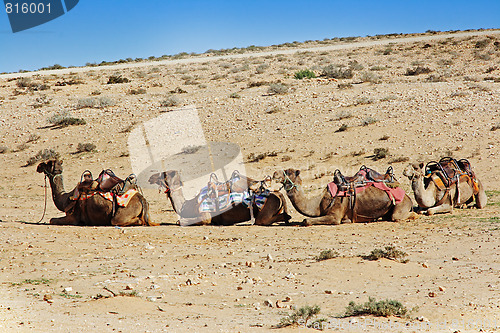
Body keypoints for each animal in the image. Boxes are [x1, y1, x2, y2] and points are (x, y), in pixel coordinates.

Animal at [147, 169, 290, 226]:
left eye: (164, 174)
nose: (151, 177)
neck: (187, 206)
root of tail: (279, 194)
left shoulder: (205, 216)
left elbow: (180, 221)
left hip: (264, 213)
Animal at [272, 167, 416, 224]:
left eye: (288, 172)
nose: (274, 173)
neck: (318, 203)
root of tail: (407, 196)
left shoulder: (335, 215)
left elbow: (306, 221)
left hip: (400, 204)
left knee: (399, 216)